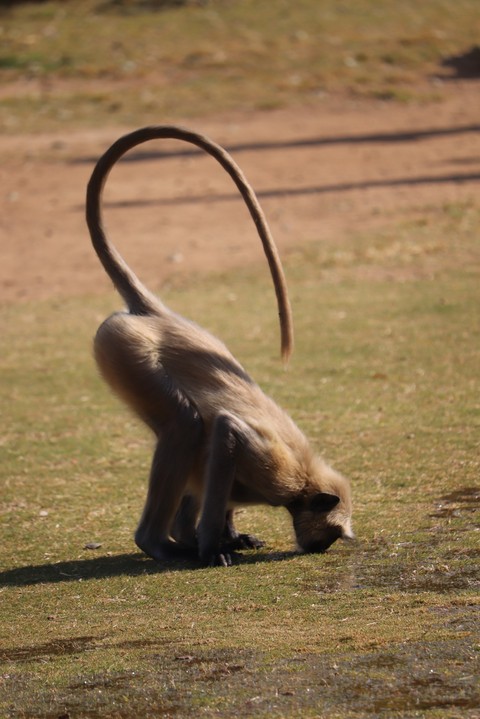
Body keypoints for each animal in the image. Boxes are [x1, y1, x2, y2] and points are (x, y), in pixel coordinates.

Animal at [86, 125, 353, 567]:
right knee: (186, 425)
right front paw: (212, 545)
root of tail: (158, 316)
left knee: (196, 442)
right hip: (129, 352)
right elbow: (227, 432)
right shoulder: (277, 474)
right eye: (330, 534)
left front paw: (226, 536)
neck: (303, 480)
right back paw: (158, 543)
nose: (319, 547)